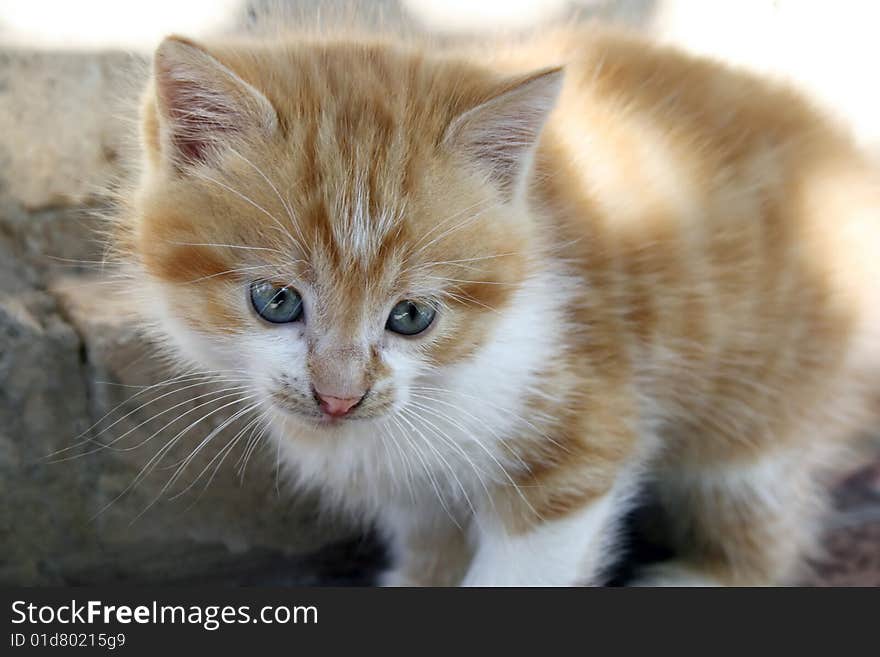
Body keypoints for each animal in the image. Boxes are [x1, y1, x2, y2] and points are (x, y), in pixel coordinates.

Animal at [111, 24, 880, 584]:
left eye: (412, 316)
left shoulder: (580, 436)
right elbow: (430, 550)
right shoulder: (412, 492)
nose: (339, 397)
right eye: (276, 301)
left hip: (764, 402)